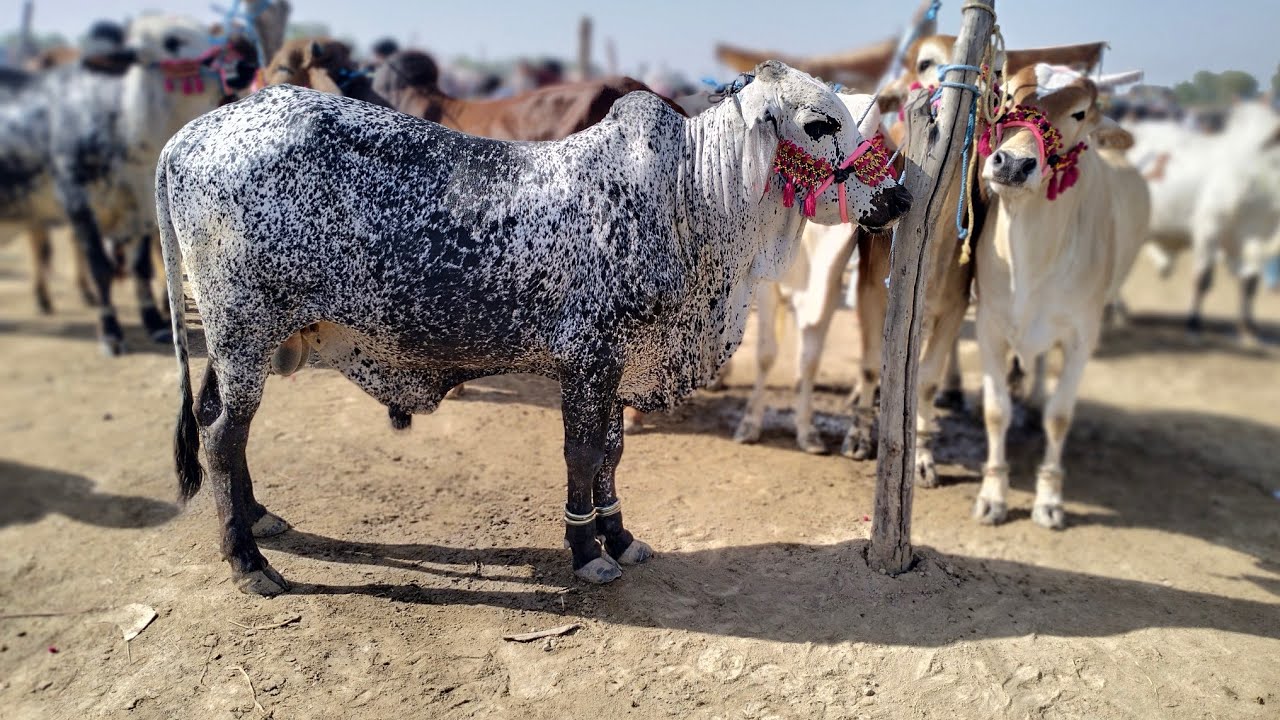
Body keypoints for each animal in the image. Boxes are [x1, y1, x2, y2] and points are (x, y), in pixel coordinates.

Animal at [156, 61, 912, 595]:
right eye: (819, 123)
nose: (900, 193)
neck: (688, 199)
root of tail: (188, 137)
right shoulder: (589, 362)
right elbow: (582, 456)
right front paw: (586, 552)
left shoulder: (618, 368)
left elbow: (612, 457)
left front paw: (620, 537)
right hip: (243, 330)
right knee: (221, 437)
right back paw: (248, 562)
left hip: (243, 343)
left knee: (220, 422)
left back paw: (258, 519)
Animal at [971, 64, 1148, 528]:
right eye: (1007, 95)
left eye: (1080, 113)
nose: (1014, 164)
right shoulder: (989, 328)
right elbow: (996, 411)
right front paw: (993, 494)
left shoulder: (1081, 338)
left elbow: (1059, 417)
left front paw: (1049, 499)